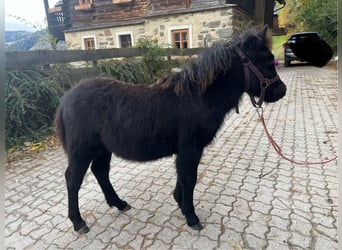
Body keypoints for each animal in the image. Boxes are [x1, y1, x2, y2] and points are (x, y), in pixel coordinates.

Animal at [54, 25, 288, 232]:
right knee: (73, 180)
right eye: (267, 62)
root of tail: (66, 98)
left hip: (102, 149)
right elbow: (189, 179)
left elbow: (182, 177)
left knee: (100, 172)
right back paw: (78, 222)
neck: (198, 97)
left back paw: (119, 204)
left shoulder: (186, 149)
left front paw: (181, 204)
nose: (282, 91)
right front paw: (191, 217)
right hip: (82, 150)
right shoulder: (191, 148)